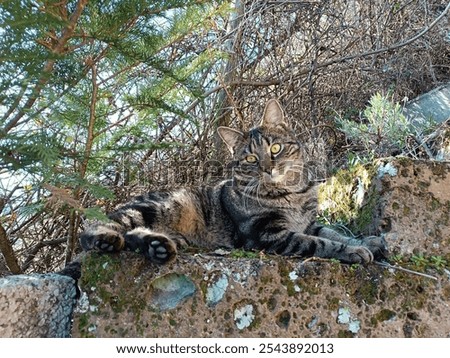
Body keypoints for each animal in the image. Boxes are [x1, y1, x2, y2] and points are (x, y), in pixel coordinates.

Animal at [81, 99, 386, 264]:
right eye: (251, 158)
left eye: (275, 148)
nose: (268, 169)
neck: (292, 192)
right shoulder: (268, 234)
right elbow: (320, 244)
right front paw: (354, 251)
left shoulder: (310, 222)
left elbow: (333, 233)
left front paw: (367, 241)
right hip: (154, 207)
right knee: (100, 229)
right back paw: (107, 240)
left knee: (133, 235)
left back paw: (159, 246)